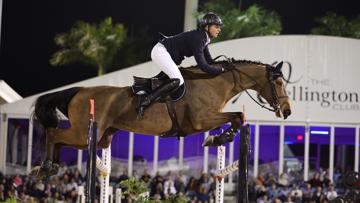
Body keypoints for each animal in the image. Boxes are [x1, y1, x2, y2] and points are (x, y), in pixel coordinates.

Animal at [30, 58, 290, 178]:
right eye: (278, 82)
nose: (287, 111)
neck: (216, 83)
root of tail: (78, 91)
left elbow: (237, 118)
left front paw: (219, 138)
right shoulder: (201, 120)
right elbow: (236, 117)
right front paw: (217, 138)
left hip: (102, 138)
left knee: (60, 138)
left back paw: (50, 167)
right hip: (84, 133)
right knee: (54, 133)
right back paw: (46, 166)